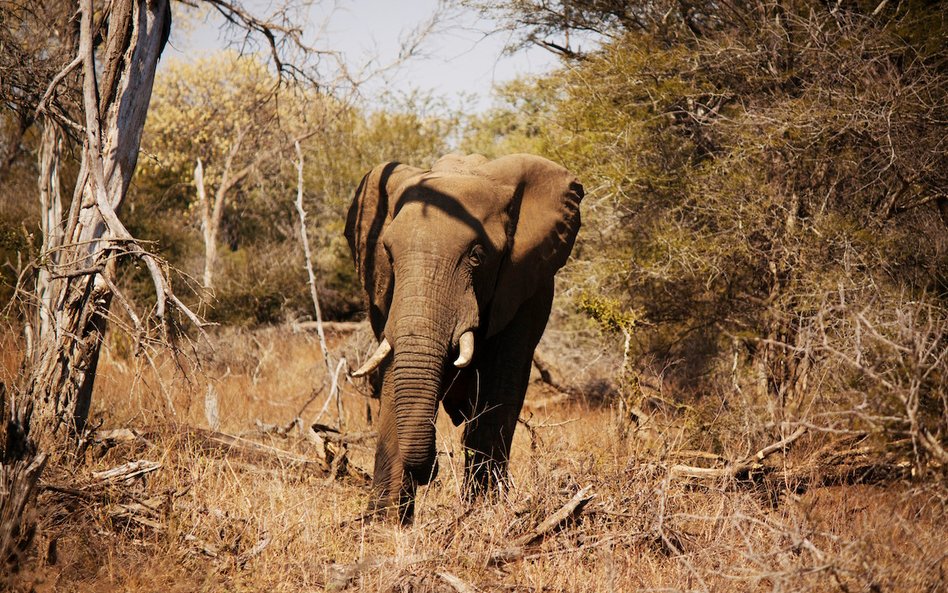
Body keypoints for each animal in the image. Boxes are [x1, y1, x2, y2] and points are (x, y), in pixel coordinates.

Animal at [346, 153, 584, 524]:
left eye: (477, 255)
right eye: (389, 254)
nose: (432, 470)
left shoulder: (523, 290)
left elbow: (499, 386)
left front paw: (482, 514)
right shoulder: (386, 296)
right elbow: (394, 375)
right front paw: (384, 524)